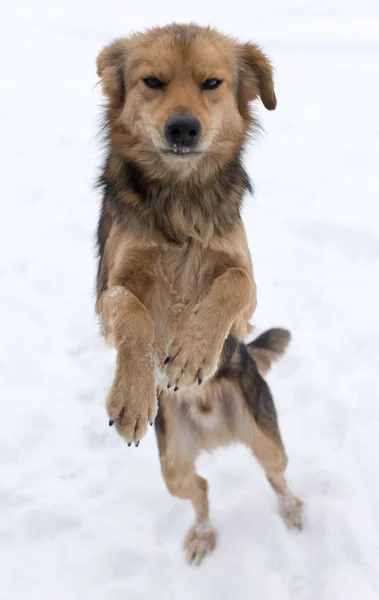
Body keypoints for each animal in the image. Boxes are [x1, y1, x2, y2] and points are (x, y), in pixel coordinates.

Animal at [95, 23, 302, 564]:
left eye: (212, 83)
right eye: (152, 81)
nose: (183, 129)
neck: (181, 196)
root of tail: (215, 427)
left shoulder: (244, 302)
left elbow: (231, 284)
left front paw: (191, 354)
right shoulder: (107, 292)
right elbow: (132, 311)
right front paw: (132, 395)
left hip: (265, 435)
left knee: (276, 474)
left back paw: (293, 509)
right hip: (174, 464)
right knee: (202, 489)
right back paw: (203, 536)